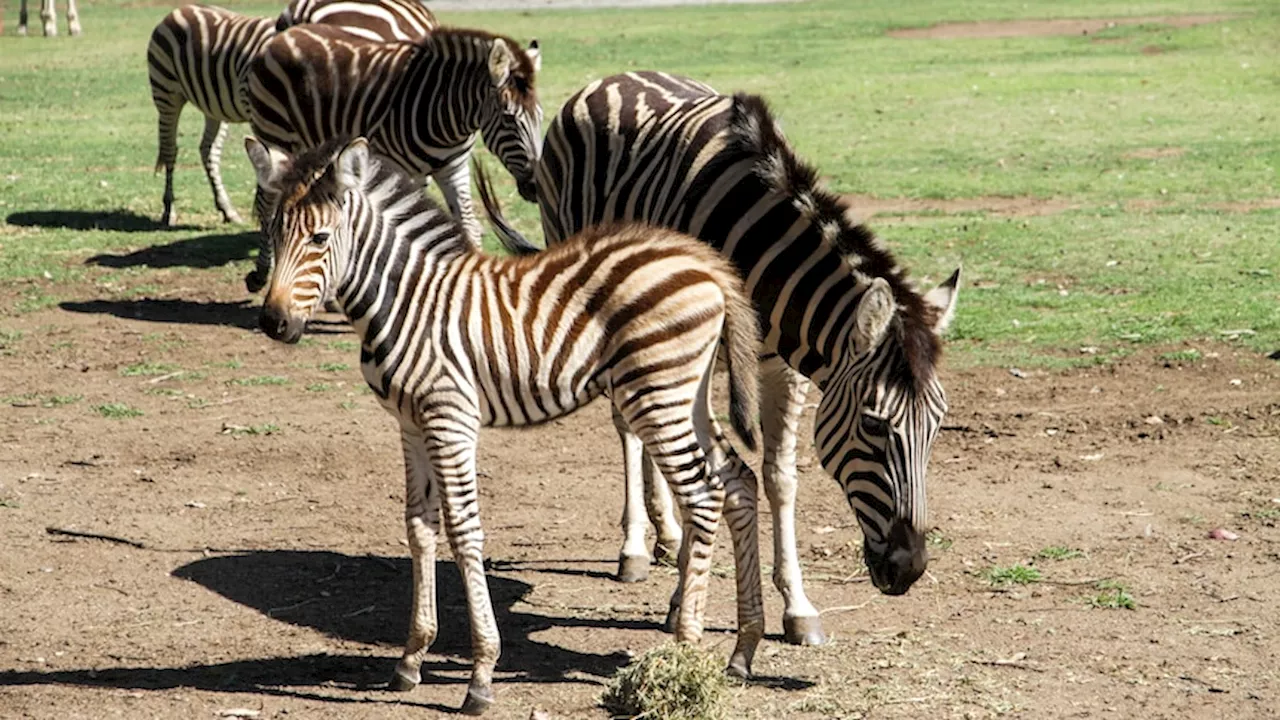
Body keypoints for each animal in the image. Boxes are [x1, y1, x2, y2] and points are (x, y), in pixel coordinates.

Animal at [146, 0, 440, 225]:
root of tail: (179, 10)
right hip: (167, 91)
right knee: (170, 148)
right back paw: (169, 210)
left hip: (214, 106)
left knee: (208, 150)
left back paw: (227, 209)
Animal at [244, 21, 540, 288]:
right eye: (509, 119)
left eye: (540, 116)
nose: (534, 188)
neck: (446, 112)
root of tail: (283, 35)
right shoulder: (404, 171)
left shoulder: (454, 169)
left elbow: (467, 224)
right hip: (274, 132)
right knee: (268, 205)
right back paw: (261, 273)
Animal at [247, 134, 768, 712]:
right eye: (272, 233)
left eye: (319, 237)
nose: (272, 323)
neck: (406, 300)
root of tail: (703, 260)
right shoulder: (410, 423)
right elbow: (419, 528)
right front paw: (411, 658)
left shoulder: (449, 418)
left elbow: (463, 531)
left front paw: (481, 674)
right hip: (685, 392)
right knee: (738, 481)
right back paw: (743, 649)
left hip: (656, 393)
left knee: (703, 495)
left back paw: (684, 653)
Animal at [488, 70, 962, 653]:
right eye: (874, 425)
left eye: (937, 426)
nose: (908, 569)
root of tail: (617, 76)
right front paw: (679, 601)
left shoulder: (785, 368)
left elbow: (780, 477)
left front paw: (797, 606)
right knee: (628, 428)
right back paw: (637, 547)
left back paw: (667, 536)